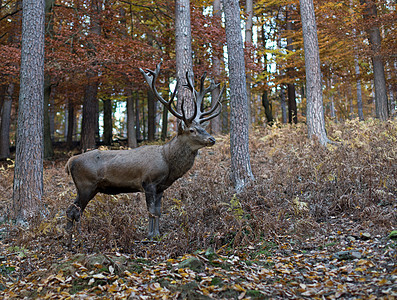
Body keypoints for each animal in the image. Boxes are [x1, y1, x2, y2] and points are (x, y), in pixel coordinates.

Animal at [65, 62, 223, 244]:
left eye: (202, 127)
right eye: (192, 130)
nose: (212, 139)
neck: (168, 161)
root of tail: (70, 162)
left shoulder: (161, 187)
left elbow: (158, 211)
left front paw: (158, 234)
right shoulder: (148, 182)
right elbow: (151, 211)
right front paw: (151, 236)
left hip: (88, 188)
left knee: (72, 210)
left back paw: (70, 239)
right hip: (86, 185)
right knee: (74, 210)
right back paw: (75, 239)